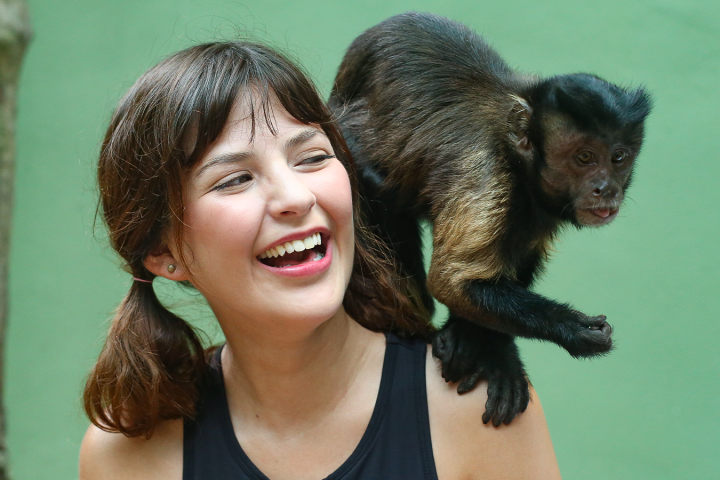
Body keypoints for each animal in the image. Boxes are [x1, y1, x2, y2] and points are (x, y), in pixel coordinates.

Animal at [328, 12, 651, 426]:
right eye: (584, 158)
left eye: (618, 157)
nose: (605, 188)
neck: (519, 164)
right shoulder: (488, 175)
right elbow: (451, 281)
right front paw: (571, 330)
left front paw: (489, 348)